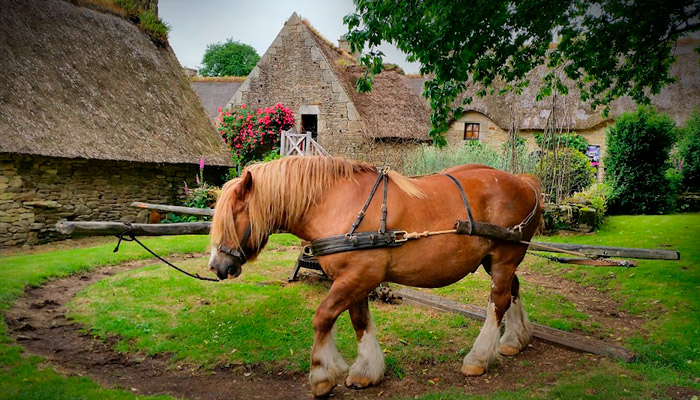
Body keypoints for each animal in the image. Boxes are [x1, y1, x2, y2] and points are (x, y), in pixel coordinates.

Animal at [208, 156, 540, 396]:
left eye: (233, 216)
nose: (216, 266)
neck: (335, 204)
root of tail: (523, 181)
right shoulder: (354, 279)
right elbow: (359, 322)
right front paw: (365, 370)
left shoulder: (357, 276)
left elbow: (323, 317)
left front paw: (322, 375)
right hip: (495, 261)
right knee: (513, 290)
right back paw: (514, 340)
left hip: (503, 257)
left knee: (498, 301)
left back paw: (478, 358)